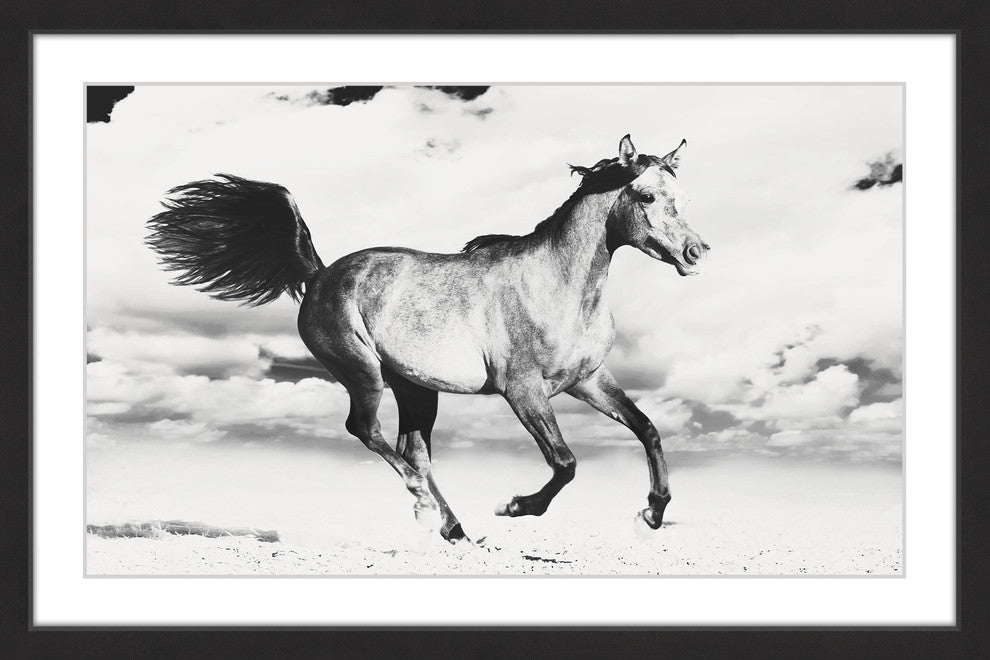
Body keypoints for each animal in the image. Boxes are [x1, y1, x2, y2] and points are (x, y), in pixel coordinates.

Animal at [146, 135, 710, 543]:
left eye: (683, 198)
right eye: (646, 196)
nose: (696, 252)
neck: (557, 286)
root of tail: (321, 273)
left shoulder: (587, 380)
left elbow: (648, 430)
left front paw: (652, 514)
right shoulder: (523, 390)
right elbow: (565, 462)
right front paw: (515, 507)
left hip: (415, 387)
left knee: (412, 449)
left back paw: (454, 529)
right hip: (364, 373)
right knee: (367, 432)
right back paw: (426, 506)